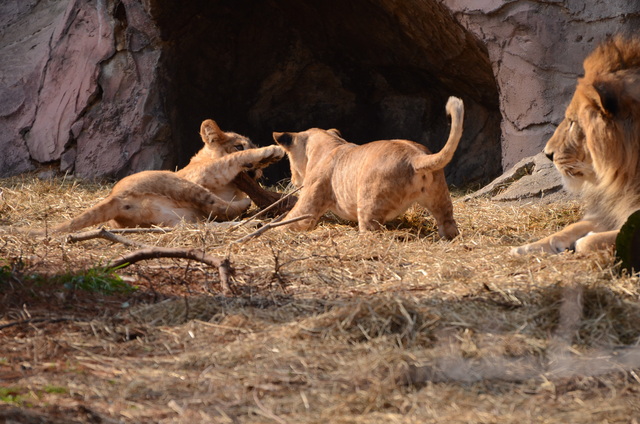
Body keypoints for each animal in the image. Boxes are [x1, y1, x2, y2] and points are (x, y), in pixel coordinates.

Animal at [11, 118, 282, 235]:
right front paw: (270, 153)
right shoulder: (204, 173)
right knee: (220, 206)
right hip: (178, 183)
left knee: (207, 222)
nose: (258, 172)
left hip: (178, 219)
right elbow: (233, 160)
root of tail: (116, 199)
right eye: (239, 145)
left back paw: (251, 222)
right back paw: (247, 209)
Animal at [512, 35, 640, 255]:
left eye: (572, 122)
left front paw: (583, 241)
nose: (547, 154)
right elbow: (571, 227)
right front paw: (524, 248)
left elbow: (589, 241)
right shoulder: (612, 206)